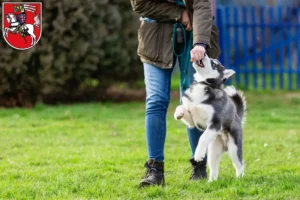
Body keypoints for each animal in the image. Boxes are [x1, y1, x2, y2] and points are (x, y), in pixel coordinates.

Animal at [173, 54, 246, 182]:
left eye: (214, 64)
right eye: (212, 60)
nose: (203, 53)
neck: (204, 84)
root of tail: (237, 116)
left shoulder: (215, 123)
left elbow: (202, 138)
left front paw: (198, 155)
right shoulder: (193, 120)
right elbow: (182, 107)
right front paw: (179, 113)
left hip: (234, 148)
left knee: (240, 164)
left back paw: (239, 178)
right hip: (213, 152)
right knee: (214, 168)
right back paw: (212, 181)